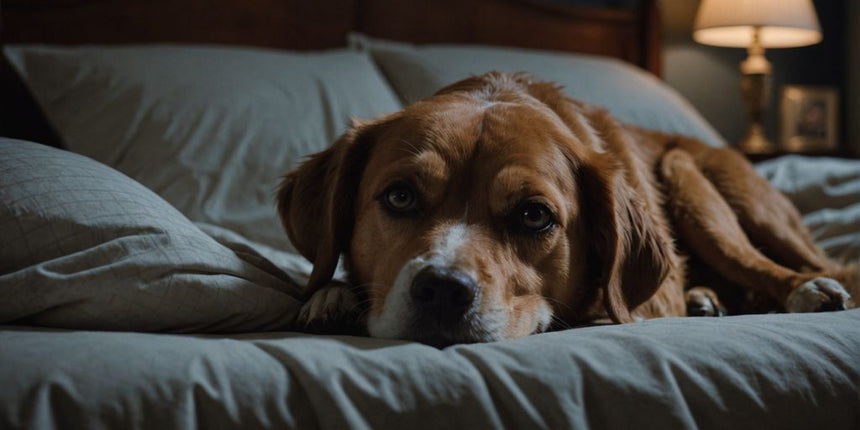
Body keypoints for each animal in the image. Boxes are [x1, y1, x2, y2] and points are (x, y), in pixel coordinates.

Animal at [278, 71, 856, 346]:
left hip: (699, 186)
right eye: (399, 196)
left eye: (535, 215)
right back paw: (707, 299)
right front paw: (331, 296)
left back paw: (809, 290)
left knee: (780, 266)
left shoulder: (646, 300)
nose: (442, 290)